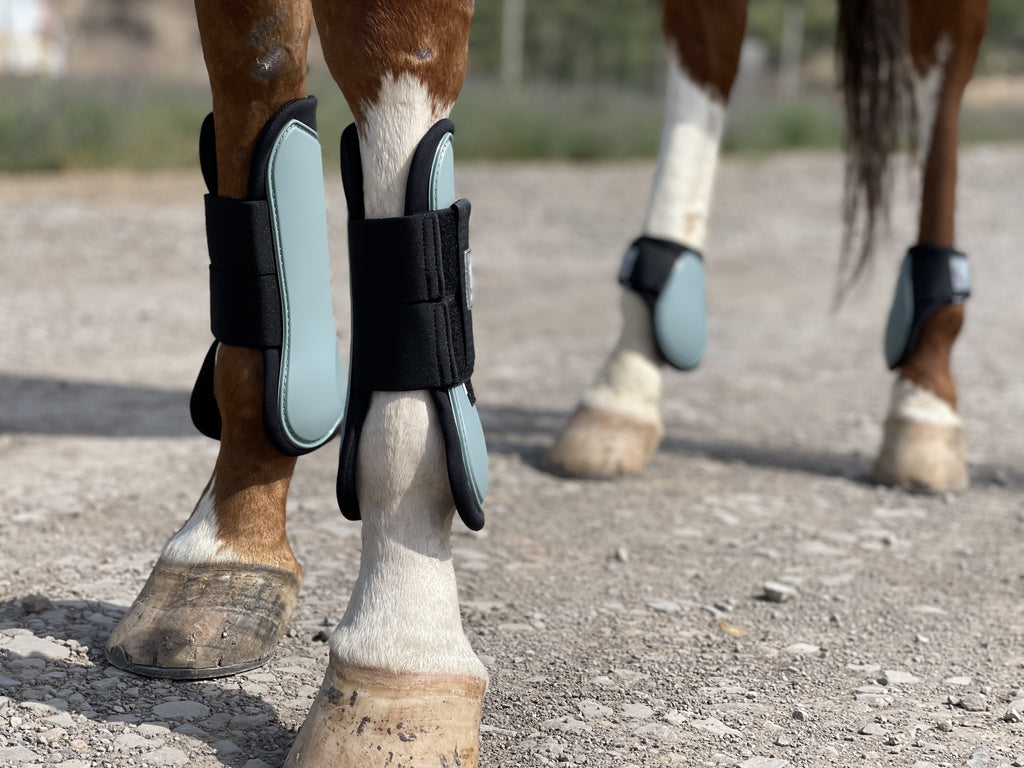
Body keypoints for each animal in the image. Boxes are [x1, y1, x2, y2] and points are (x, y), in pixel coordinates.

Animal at [101, 1, 987, 766]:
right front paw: (224, 549)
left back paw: (924, 399)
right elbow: (252, 80)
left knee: (943, 65)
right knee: (711, 44)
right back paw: (624, 387)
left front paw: (400, 655)